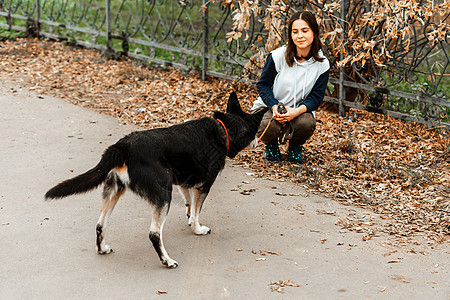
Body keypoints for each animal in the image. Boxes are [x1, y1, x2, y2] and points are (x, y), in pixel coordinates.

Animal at [44, 92, 268, 268]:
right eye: (256, 132)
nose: (259, 142)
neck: (225, 130)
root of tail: (123, 146)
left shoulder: (184, 182)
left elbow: (189, 204)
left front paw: (189, 219)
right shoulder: (203, 185)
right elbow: (197, 211)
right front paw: (197, 229)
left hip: (115, 190)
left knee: (101, 224)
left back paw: (102, 248)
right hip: (162, 194)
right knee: (154, 233)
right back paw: (167, 261)